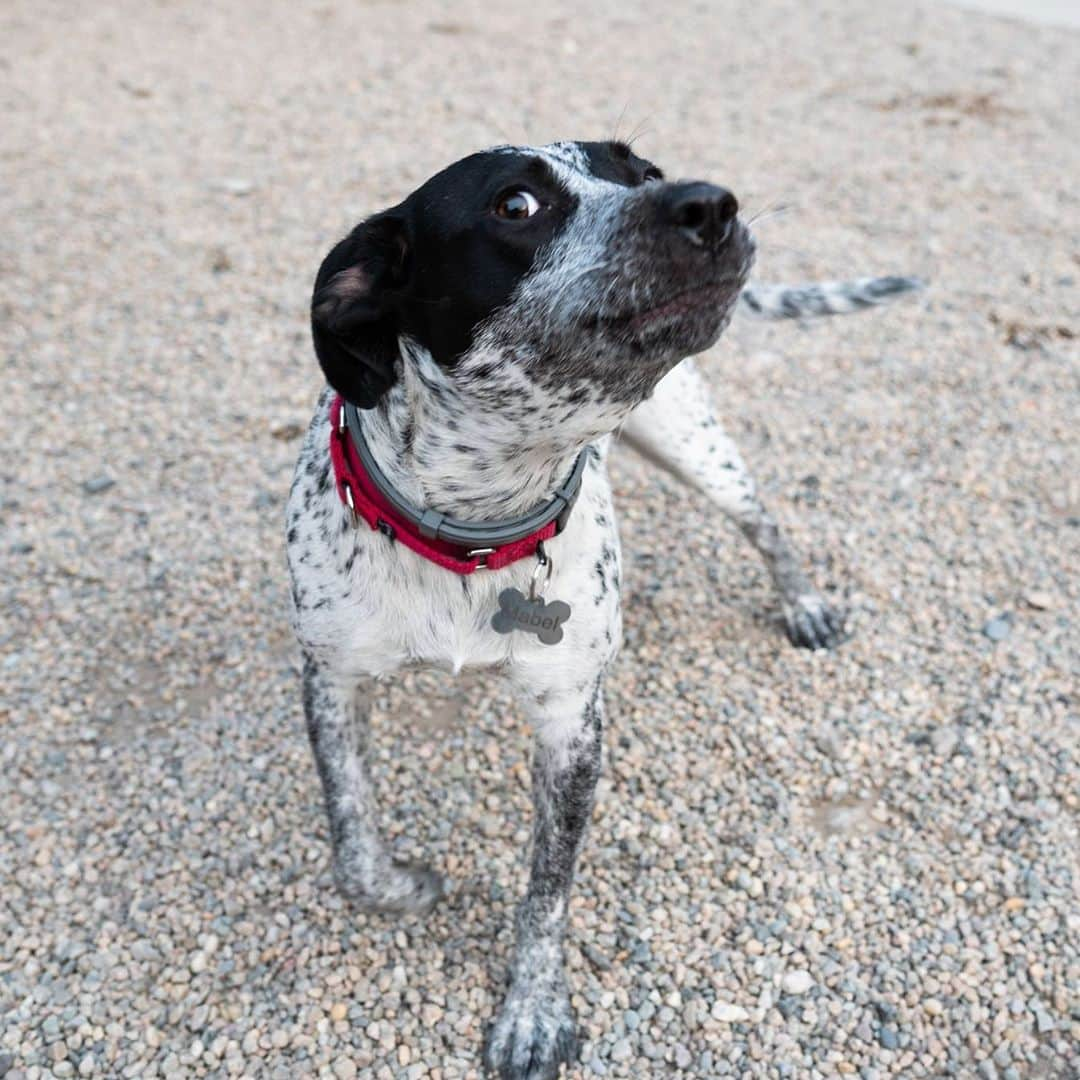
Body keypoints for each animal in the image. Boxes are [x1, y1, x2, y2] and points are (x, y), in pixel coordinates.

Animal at [287, 139, 920, 1075]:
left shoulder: (569, 726)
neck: (476, 527)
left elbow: (546, 895)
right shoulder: (329, 677)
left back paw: (803, 604)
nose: (710, 202)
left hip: (695, 445)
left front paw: (532, 1012)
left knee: (765, 525)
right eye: (515, 205)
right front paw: (404, 884)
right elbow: (353, 852)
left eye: (643, 171)